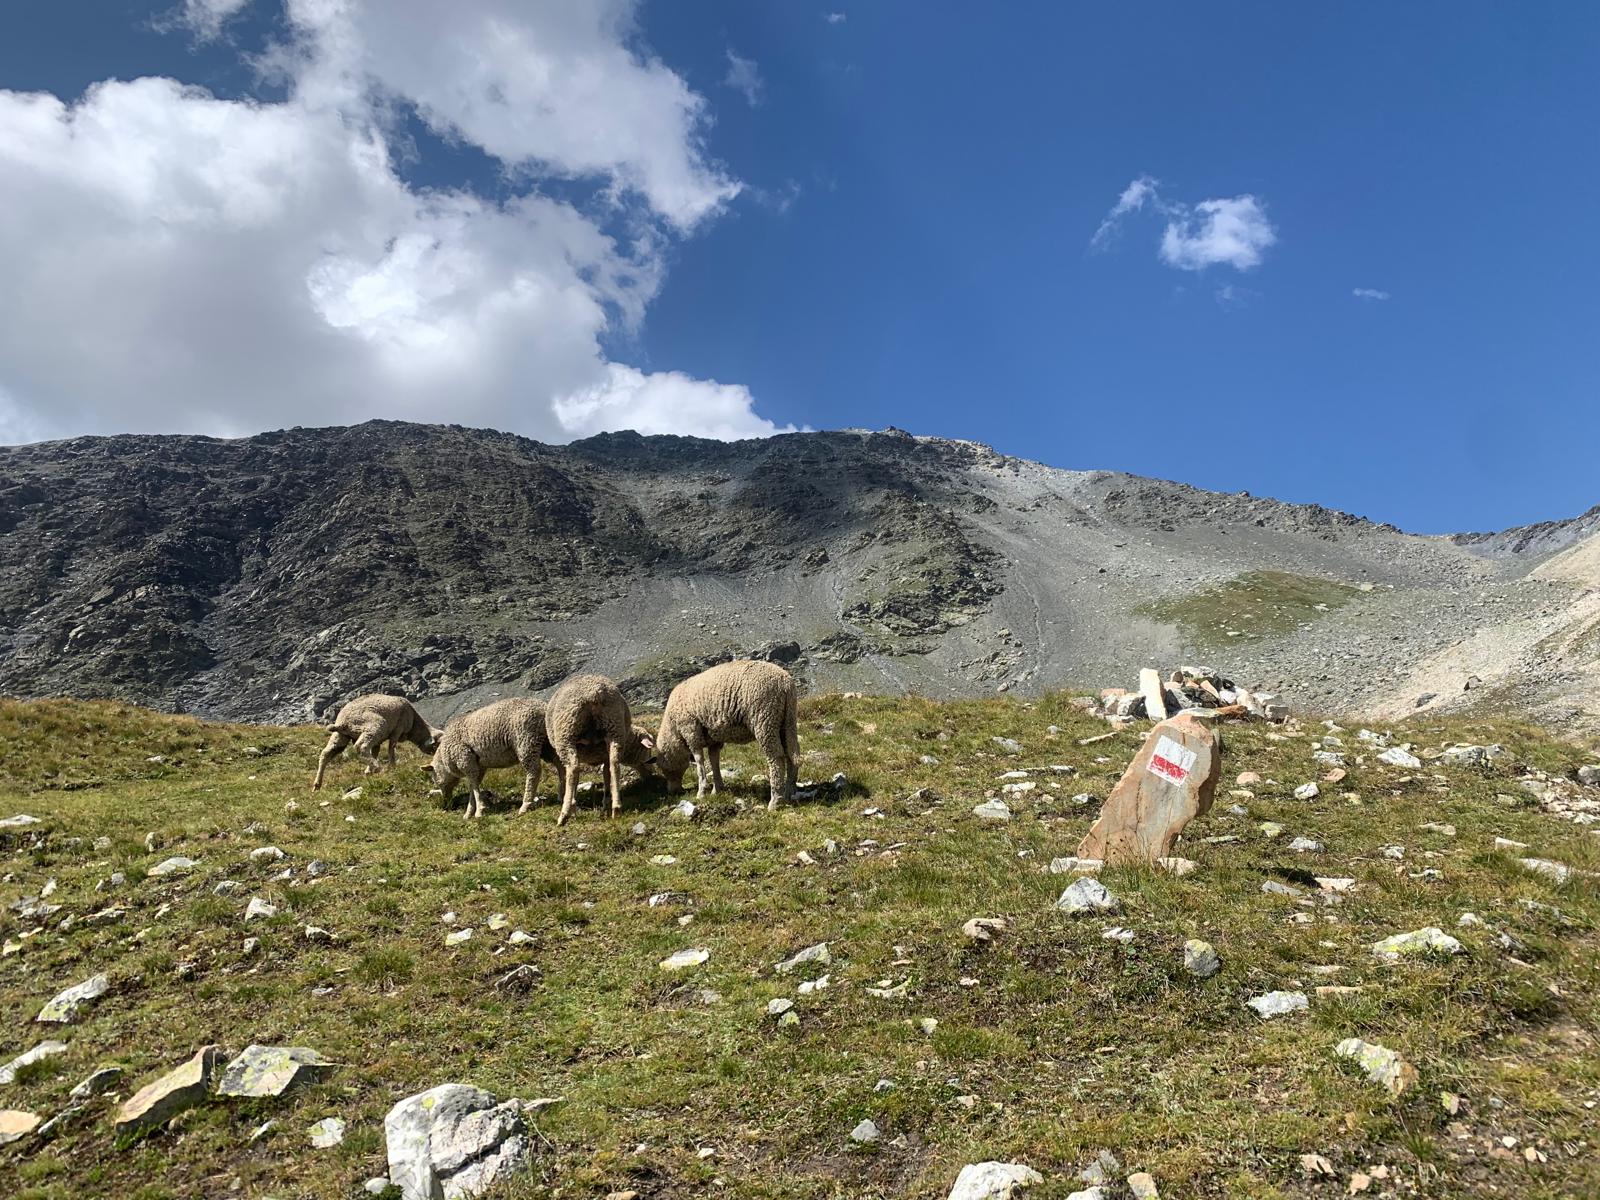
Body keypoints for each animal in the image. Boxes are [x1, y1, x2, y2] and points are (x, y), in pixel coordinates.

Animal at [312, 693, 442, 791]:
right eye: (436, 746)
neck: (415, 724)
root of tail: (343, 721)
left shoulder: (378, 742)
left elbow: (375, 752)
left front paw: (368, 772)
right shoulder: (397, 730)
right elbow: (391, 748)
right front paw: (392, 766)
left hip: (340, 736)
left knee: (326, 753)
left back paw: (317, 784)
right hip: (374, 726)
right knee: (361, 747)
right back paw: (378, 767)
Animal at [544, 674, 657, 825]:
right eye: (647, 749)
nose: (653, 772)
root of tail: (594, 693)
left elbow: (574, 778)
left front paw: (573, 805)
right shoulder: (604, 756)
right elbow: (606, 775)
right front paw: (605, 803)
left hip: (566, 734)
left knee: (573, 768)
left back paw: (564, 814)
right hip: (614, 728)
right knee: (615, 765)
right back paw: (616, 808)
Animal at [655, 660, 800, 811]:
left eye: (664, 768)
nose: (673, 791)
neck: (673, 728)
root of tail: (785, 683)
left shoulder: (691, 731)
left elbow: (700, 762)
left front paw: (702, 792)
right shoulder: (714, 740)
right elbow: (714, 761)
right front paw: (717, 789)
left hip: (765, 719)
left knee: (776, 757)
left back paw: (775, 800)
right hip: (787, 721)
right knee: (792, 754)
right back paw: (789, 792)